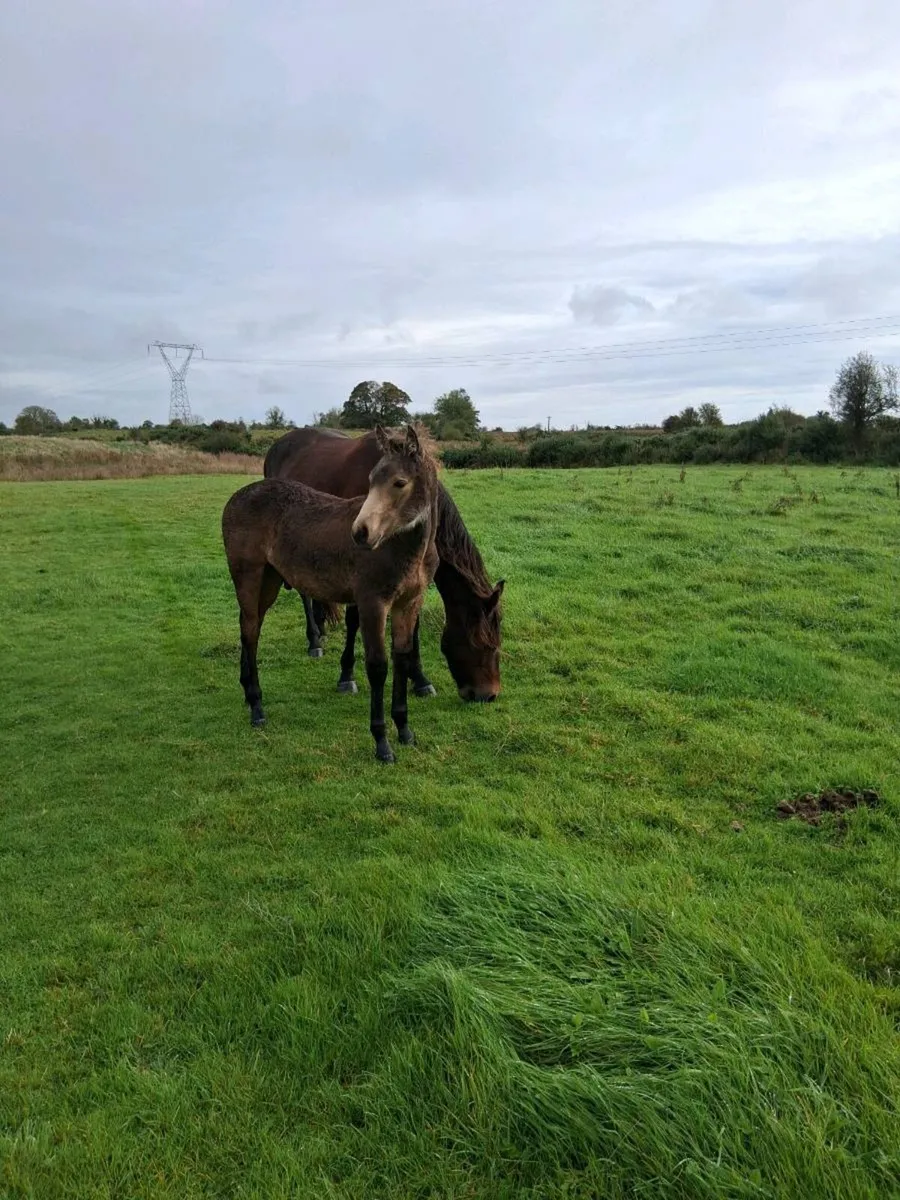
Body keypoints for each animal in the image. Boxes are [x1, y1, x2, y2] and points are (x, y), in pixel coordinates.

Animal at [222, 424, 440, 763]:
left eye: (399, 482)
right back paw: (257, 706)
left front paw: (405, 730)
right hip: (248, 574)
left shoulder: (407, 603)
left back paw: (248, 693)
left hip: (270, 580)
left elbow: (402, 659)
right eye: (370, 479)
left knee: (250, 625)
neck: (401, 546)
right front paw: (382, 742)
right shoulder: (372, 603)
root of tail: (236, 498)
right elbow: (378, 666)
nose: (361, 533)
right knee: (249, 630)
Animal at [263, 425, 504, 702]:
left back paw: (321, 629)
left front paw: (419, 679)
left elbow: (413, 626)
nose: (488, 695)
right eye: (482, 643)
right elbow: (354, 620)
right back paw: (314, 640)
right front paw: (347, 675)